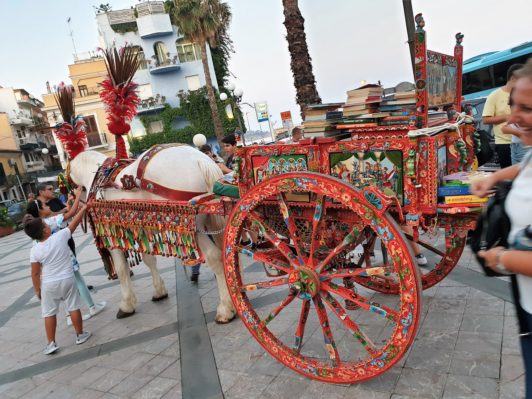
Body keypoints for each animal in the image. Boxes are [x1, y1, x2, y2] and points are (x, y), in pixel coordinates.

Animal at [69, 145, 236, 324]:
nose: (71, 205)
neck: (96, 178)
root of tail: (201, 160)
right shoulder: (140, 228)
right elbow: (149, 259)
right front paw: (159, 291)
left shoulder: (109, 231)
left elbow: (121, 269)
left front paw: (127, 304)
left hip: (192, 227)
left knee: (214, 257)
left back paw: (225, 309)